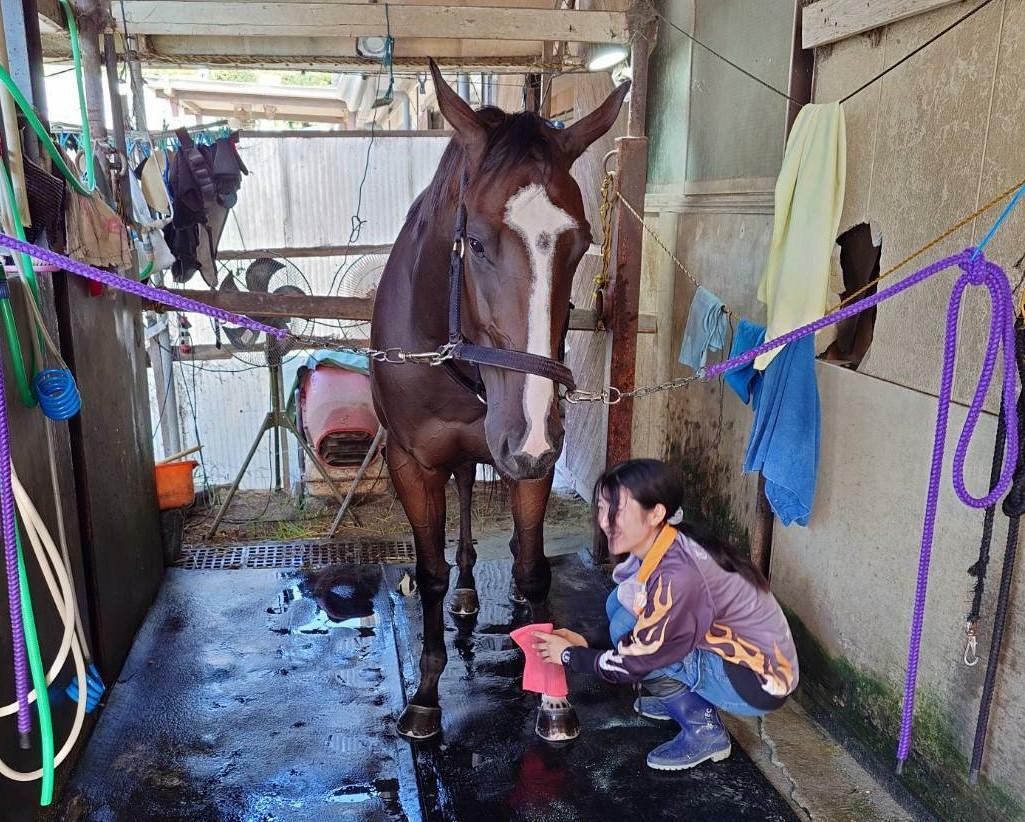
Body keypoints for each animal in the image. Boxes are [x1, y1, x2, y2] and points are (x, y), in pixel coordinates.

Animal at [369, 62, 623, 742]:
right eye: (477, 243)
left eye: (580, 245)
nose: (529, 433)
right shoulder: (411, 464)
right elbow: (428, 572)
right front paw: (425, 699)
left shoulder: (532, 461)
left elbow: (534, 565)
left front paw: (553, 697)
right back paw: (464, 592)